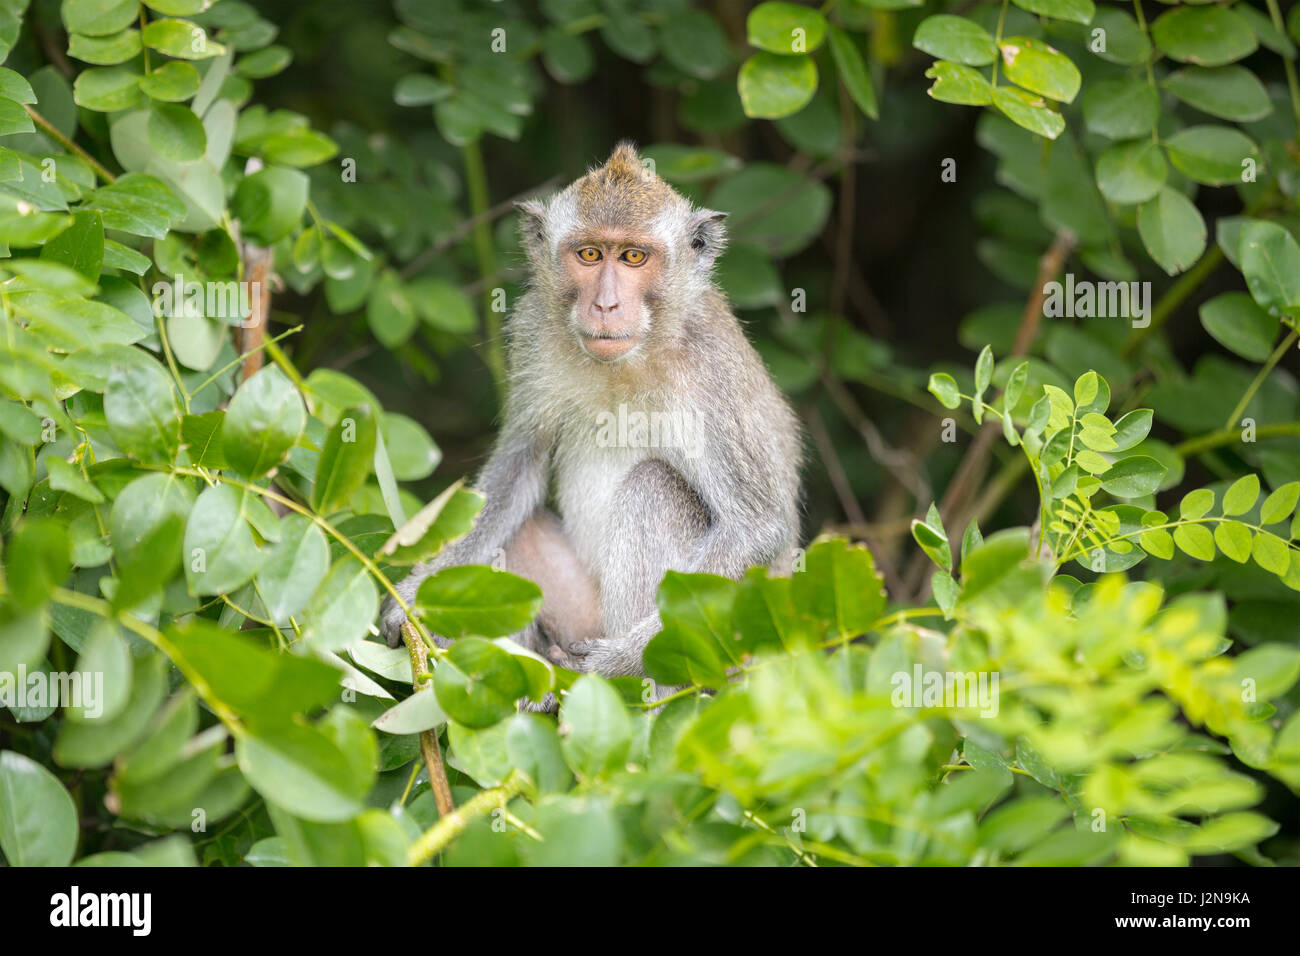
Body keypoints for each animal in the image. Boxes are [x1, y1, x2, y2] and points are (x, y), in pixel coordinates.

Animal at [380, 142, 802, 692]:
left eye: (633, 256)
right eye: (589, 254)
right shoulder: (534, 330)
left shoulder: (713, 375)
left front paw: (614, 663)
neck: (631, 358)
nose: (605, 304)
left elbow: (757, 527)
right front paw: (416, 593)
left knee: (653, 486)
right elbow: (520, 463)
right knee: (523, 530)